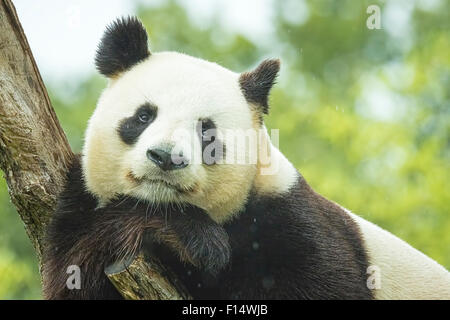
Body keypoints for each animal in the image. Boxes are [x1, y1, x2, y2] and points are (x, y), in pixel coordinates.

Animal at [40, 15, 448, 300]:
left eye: (207, 132)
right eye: (144, 116)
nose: (166, 157)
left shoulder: (293, 227)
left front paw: (199, 243)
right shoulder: (78, 209)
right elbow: (78, 271)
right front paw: (196, 239)